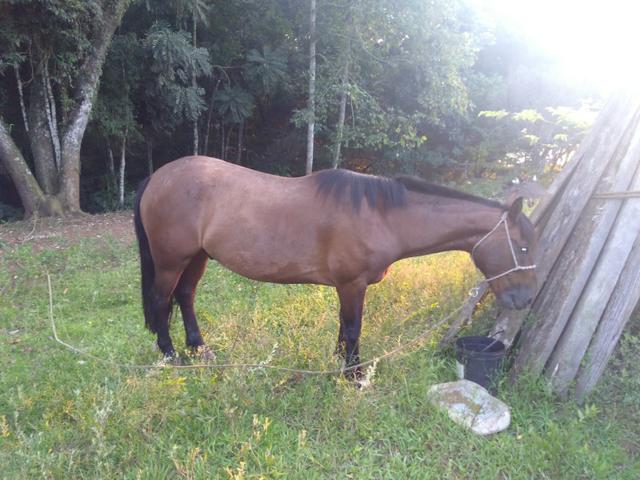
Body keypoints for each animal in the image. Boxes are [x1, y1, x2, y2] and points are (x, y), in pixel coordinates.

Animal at [135, 156, 540, 376]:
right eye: (522, 247)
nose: (525, 299)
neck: (380, 215)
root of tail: (157, 177)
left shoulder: (348, 287)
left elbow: (344, 329)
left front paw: (339, 365)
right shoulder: (352, 284)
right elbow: (353, 328)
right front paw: (354, 375)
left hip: (197, 257)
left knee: (185, 297)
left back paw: (199, 349)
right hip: (171, 260)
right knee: (161, 301)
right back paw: (171, 356)